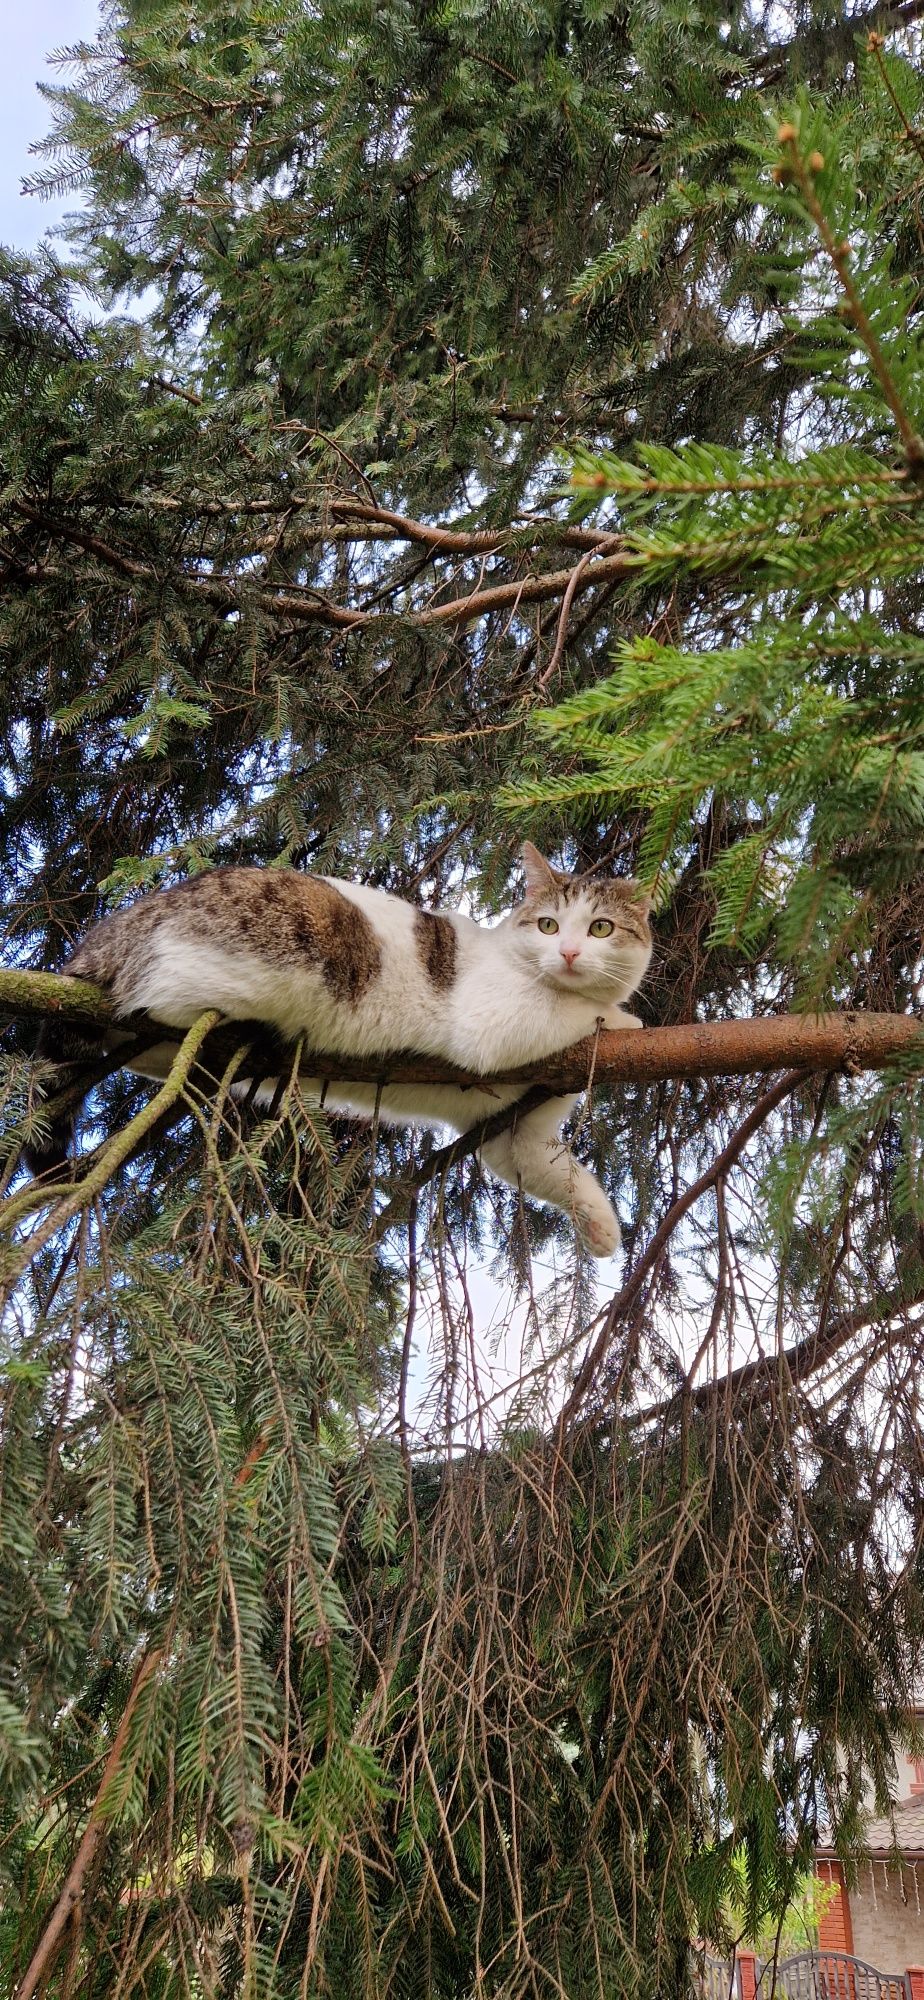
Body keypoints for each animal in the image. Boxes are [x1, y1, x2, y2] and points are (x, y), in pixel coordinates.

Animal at [25, 840, 652, 1248]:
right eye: (548, 926)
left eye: (600, 928)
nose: (568, 953)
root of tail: (128, 916)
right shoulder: (494, 1023)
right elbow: (573, 1008)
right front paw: (624, 1019)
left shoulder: (514, 1135)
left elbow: (564, 1174)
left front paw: (602, 1229)